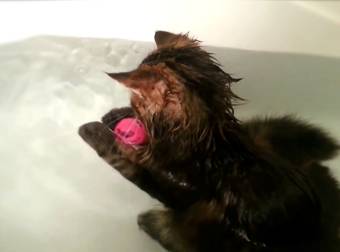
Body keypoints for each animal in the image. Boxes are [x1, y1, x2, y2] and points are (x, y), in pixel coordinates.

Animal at [78, 31, 338, 252]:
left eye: (136, 101)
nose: (130, 110)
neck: (211, 141)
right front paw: (115, 116)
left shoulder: (165, 182)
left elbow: (122, 155)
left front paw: (94, 130)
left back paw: (148, 221)